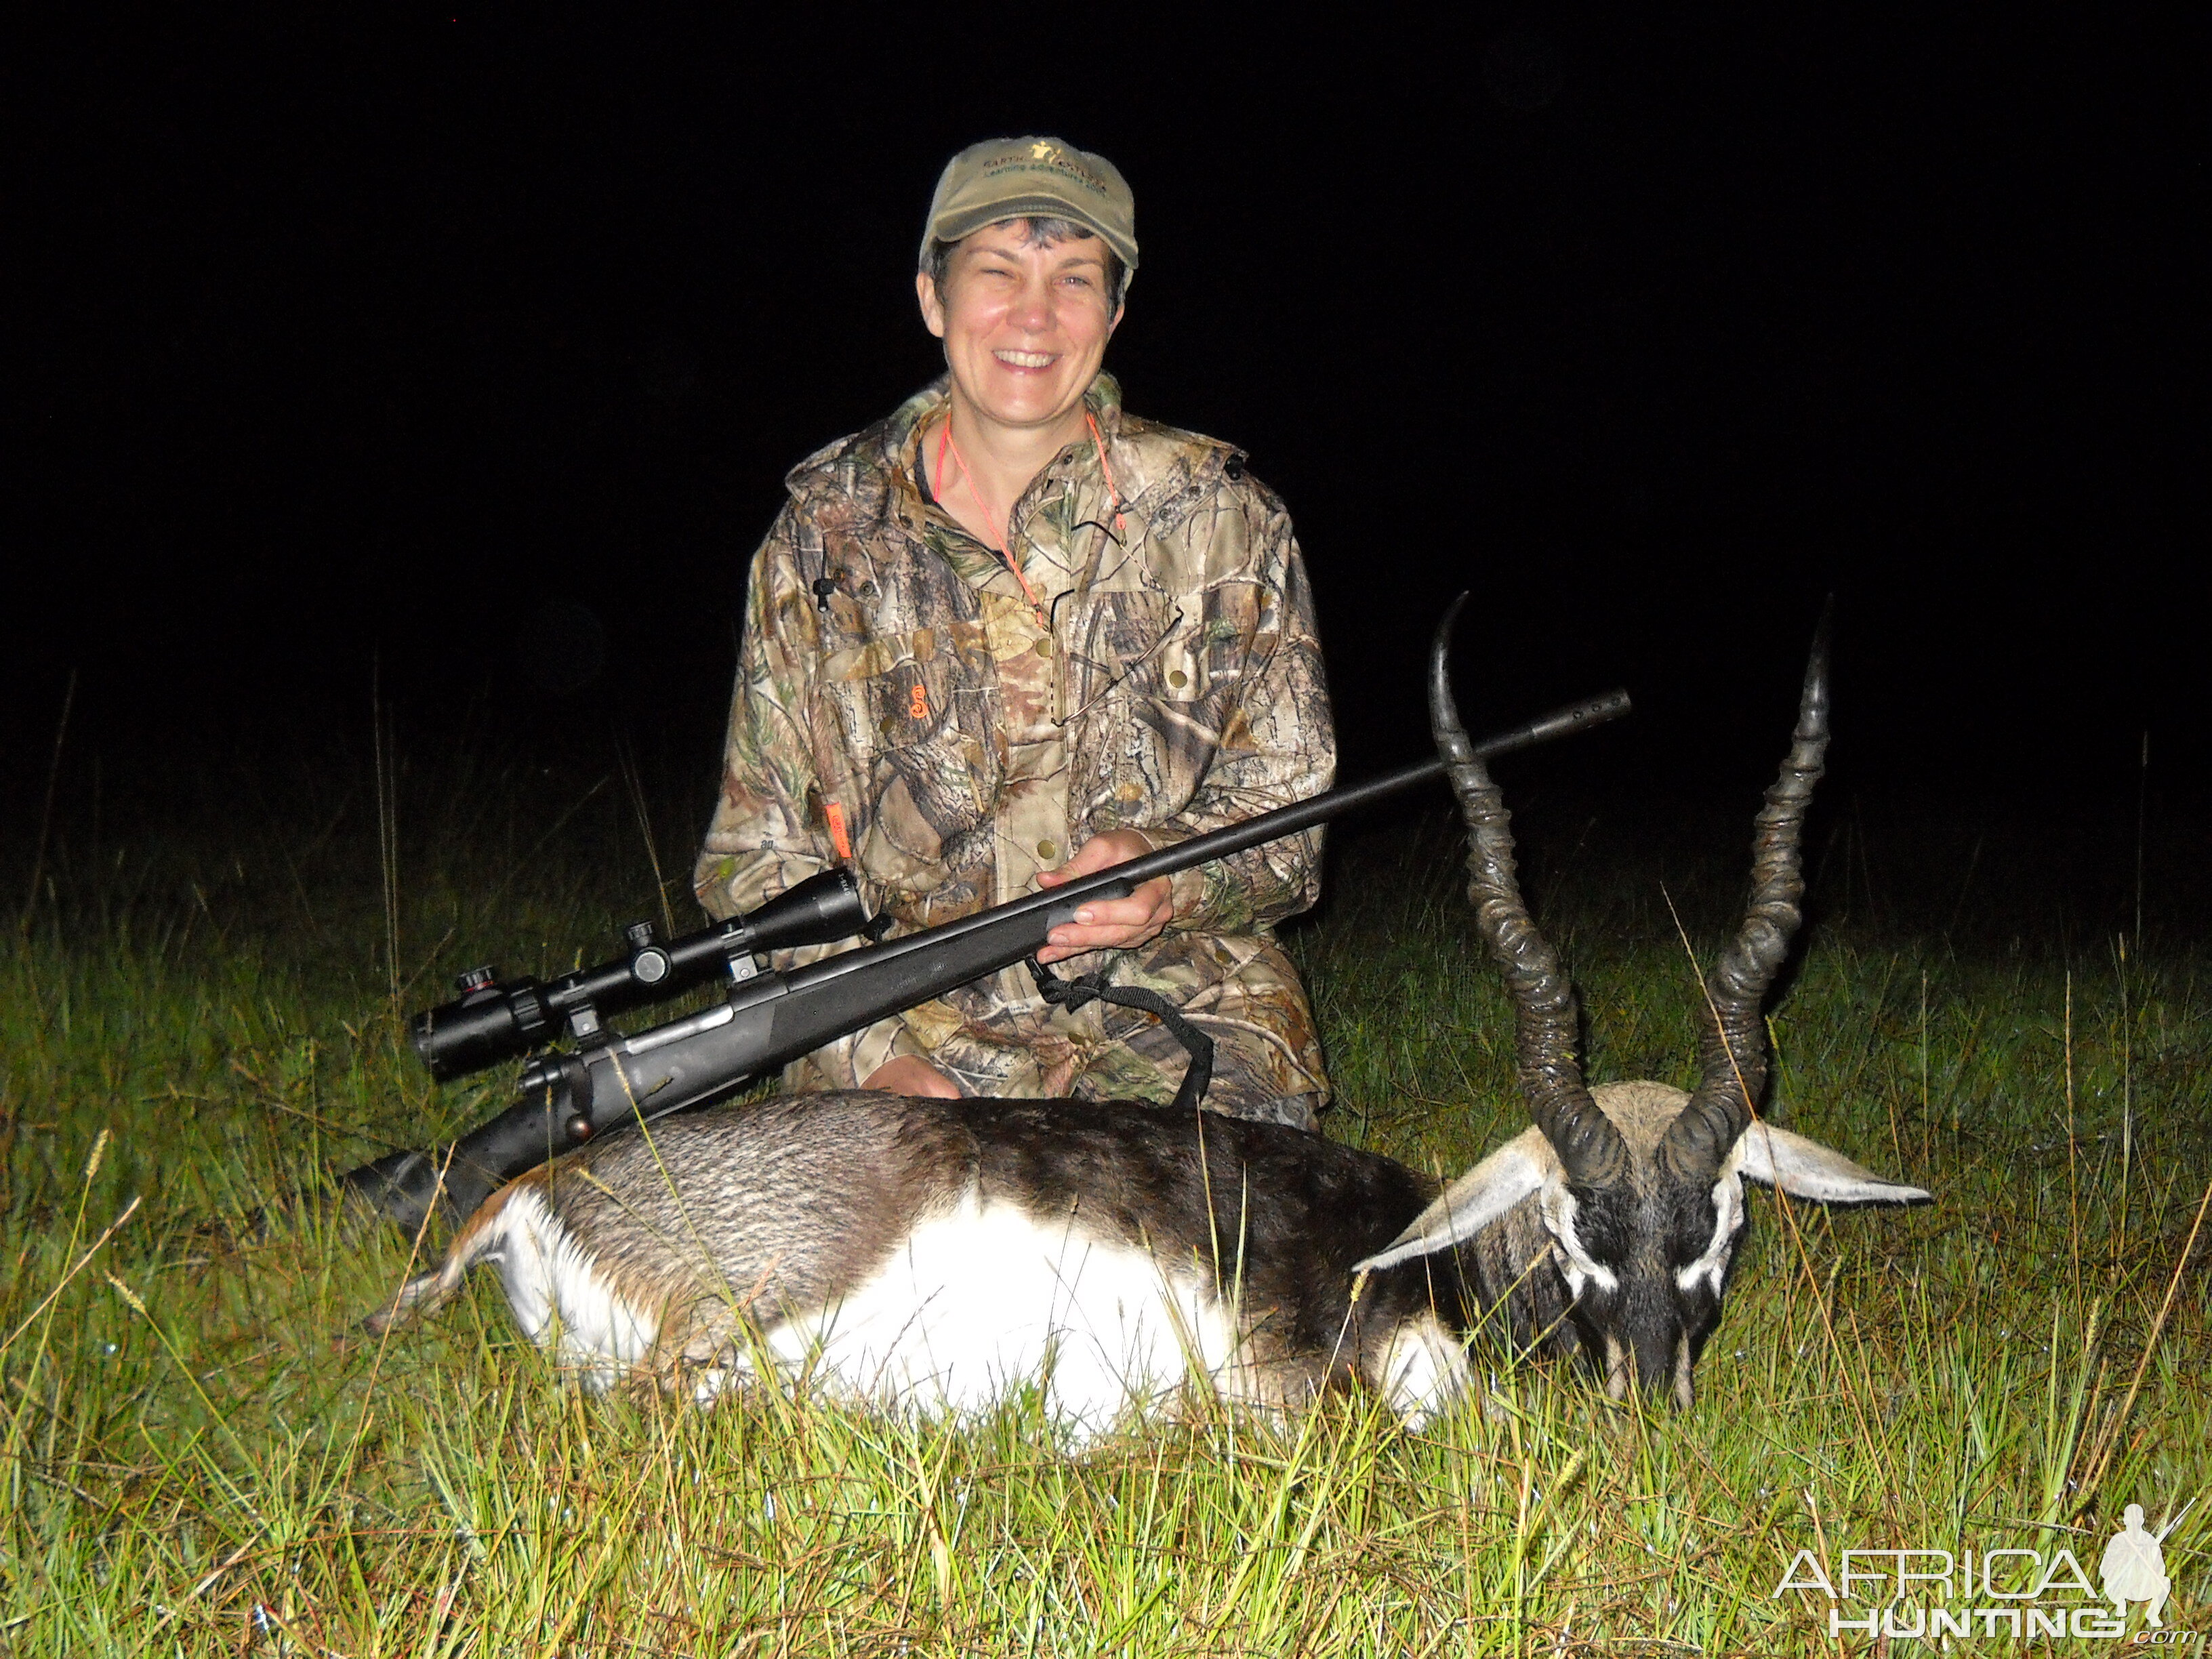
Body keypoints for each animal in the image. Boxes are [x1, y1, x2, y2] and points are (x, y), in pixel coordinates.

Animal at [371, 610, 1929, 1433]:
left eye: (1725, 1217)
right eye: (1567, 1223)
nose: (1646, 1397)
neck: (1439, 1265)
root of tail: (537, 1190)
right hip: (730, 1327)